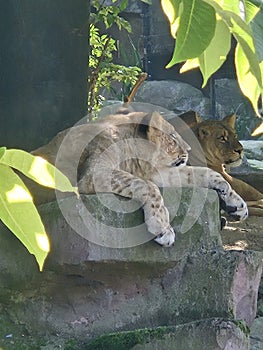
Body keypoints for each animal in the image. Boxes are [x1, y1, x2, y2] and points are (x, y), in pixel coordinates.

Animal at [32, 106, 249, 246]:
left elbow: (208, 173)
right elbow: (146, 186)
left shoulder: (158, 172)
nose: (188, 149)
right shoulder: (93, 173)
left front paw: (237, 204)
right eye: (172, 137)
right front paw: (162, 227)